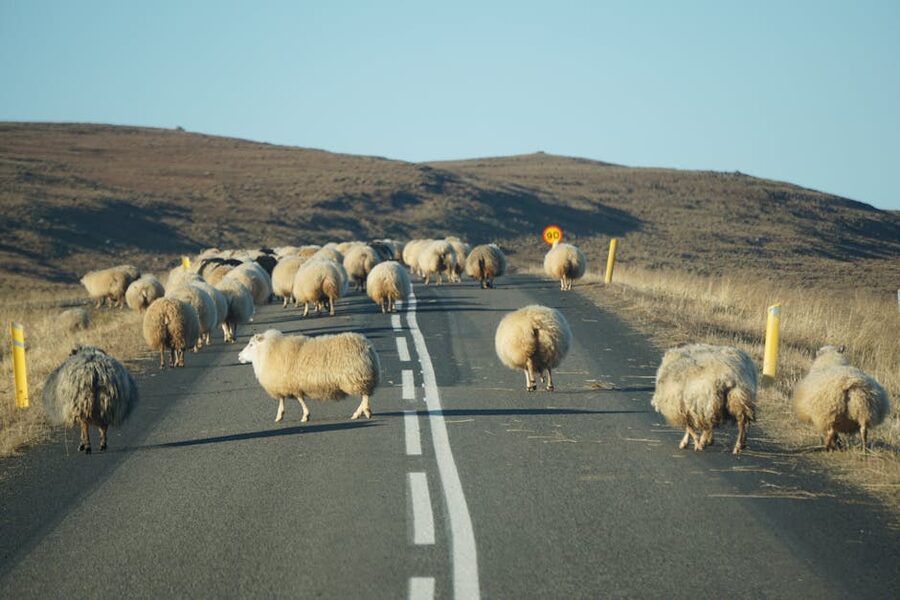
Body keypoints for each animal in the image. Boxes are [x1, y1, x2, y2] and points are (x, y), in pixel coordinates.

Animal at [238, 328, 380, 423]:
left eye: (251, 345)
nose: (239, 356)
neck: (268, 351)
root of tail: (367, 346)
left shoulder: (290, 384)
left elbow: (298, 399)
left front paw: (304, 415)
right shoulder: (286, 384)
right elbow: (285, 399)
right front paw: (280, 415)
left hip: (357, 377)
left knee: (365, 395)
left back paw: (365, 411)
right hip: (361, 377)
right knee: (365, 395)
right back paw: (359, 412)